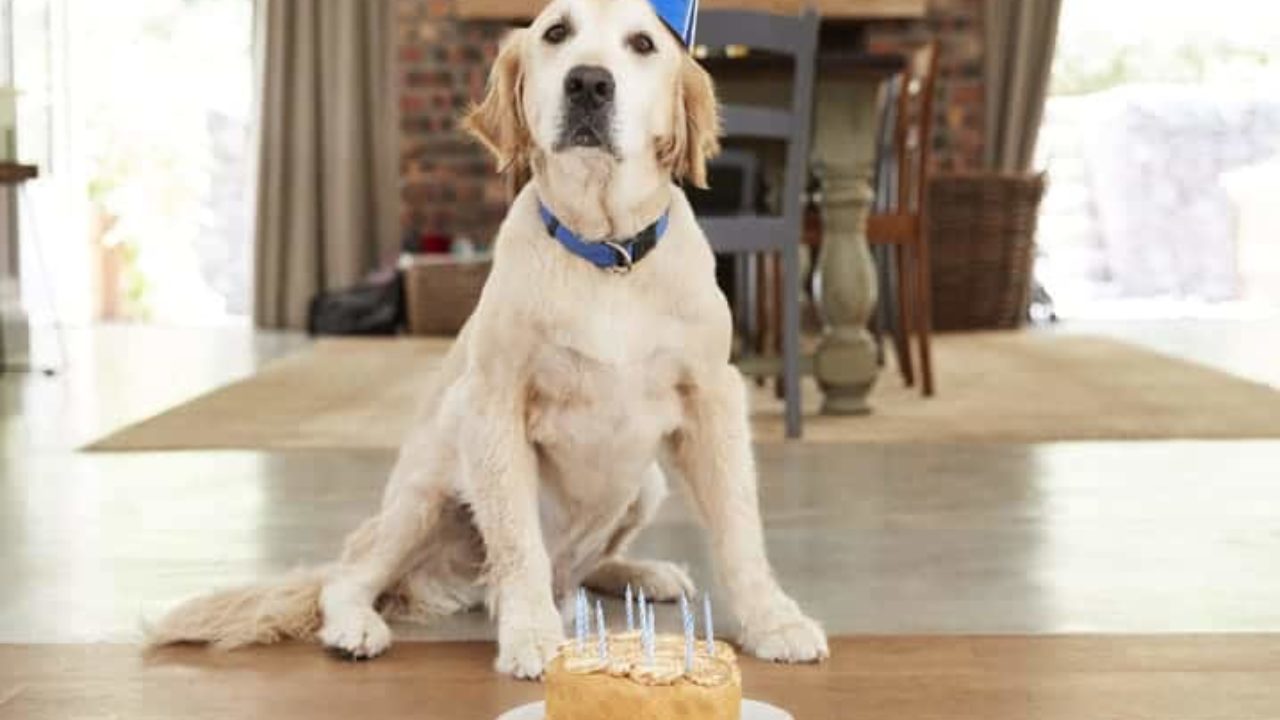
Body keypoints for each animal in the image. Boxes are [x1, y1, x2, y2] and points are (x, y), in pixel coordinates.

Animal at [147, 0, 829, 676]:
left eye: (642, 44)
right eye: (557, 32)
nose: (588, 83)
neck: (606, 254)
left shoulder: (712, 395)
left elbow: (739, 528)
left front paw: (774, 620)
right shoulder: (495, 402)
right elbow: (517, 538)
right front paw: (530, 634)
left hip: (643, 487)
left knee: (579, 572)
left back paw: (645, 573)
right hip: (426, 487)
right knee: (349, 578)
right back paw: (359, 626)